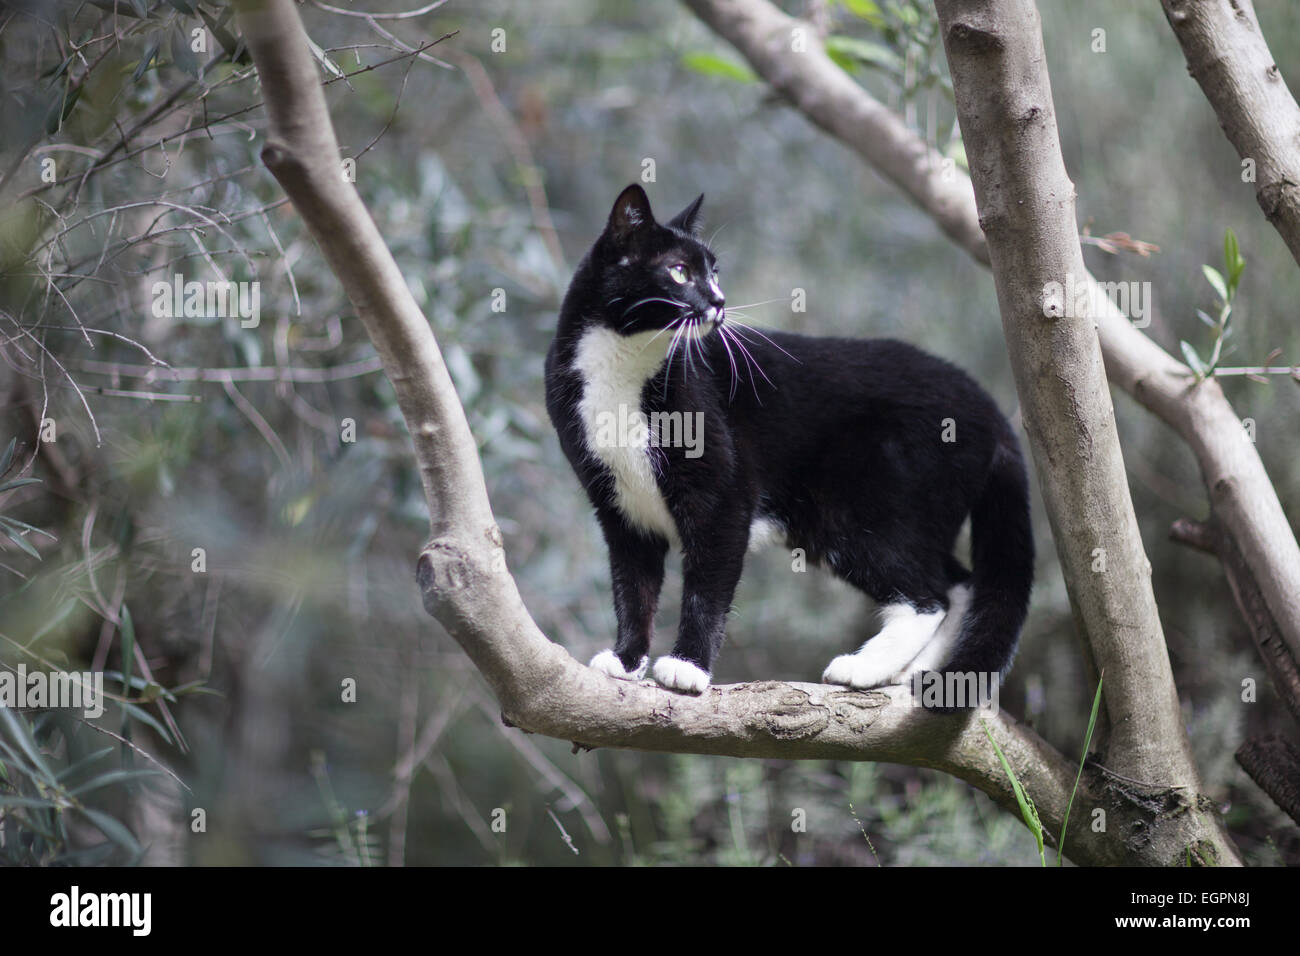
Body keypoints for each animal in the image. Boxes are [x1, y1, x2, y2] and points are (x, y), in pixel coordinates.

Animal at [543, 183, 1029, 697]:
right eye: (678, 271)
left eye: (713, 272)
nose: (719, 301)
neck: (624, 368)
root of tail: (988, 407)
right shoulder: (619, 508)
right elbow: (632, 587)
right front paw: (626, 659)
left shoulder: (725, 495)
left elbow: (707, 585)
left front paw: (687, 667)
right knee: (958, 583)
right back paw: (918, 672)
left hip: (866, 508)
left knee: (929, 596)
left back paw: (864, 668)